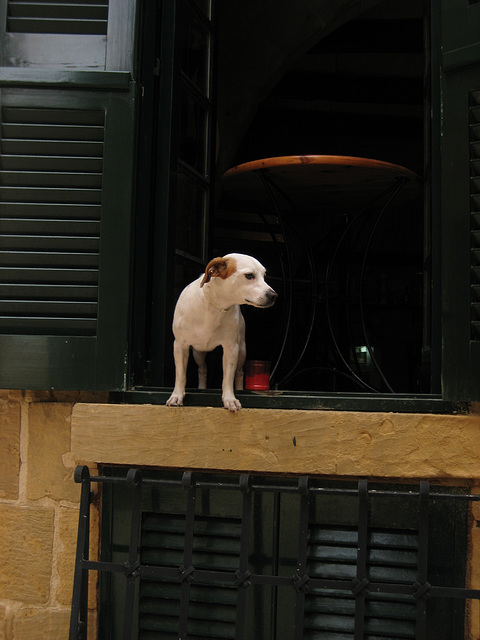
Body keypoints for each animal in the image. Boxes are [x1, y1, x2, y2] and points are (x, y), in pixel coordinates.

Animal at [166, 252, 276, 412]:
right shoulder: (180, 346)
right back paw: (202, 387)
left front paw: (230, 399)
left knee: (239, 372)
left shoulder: (231, 348)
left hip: (242, 351)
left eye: (264, 275)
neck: (214, 307)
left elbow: (228, 377)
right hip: (198, 352)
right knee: (203, 369)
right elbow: (180, 375)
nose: (273, 295)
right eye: (249, 275)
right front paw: (177, 396)